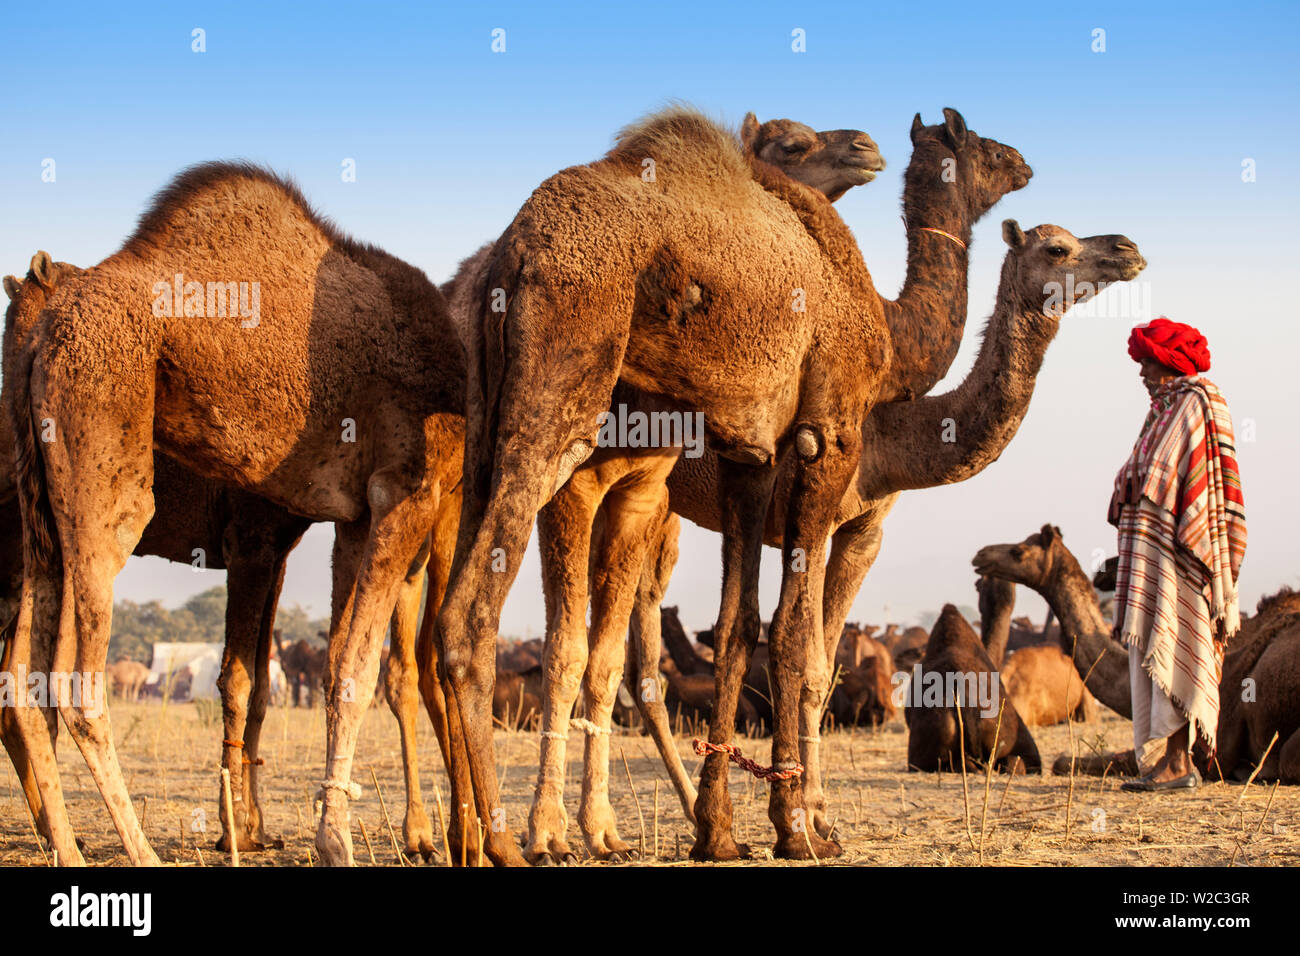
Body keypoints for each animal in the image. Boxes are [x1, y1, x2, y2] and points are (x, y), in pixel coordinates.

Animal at [2, 165, 467, 866]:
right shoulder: (369, 502)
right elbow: (309, 674)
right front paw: (294, 835)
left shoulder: (328, 527)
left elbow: (291, 676)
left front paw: (255, 828)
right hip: (102, 480)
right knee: (74, 683)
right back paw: (137, 851)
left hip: (41, 525)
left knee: (25, 687)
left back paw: (69, 846)